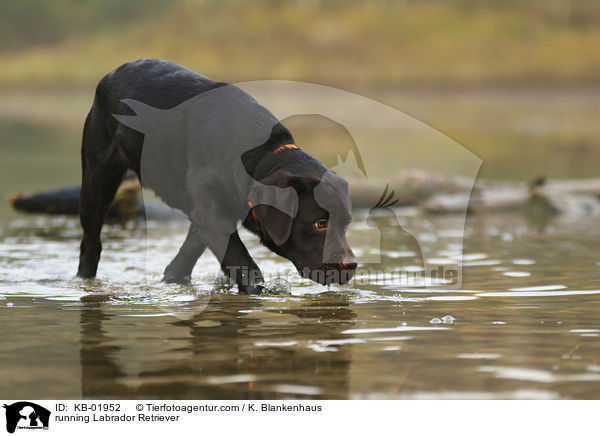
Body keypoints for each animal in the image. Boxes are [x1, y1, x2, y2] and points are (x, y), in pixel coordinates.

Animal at [76, 58, 356, 294]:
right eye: (320, 223)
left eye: (346, 224)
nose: (351, 265)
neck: (254, 157)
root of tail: (114, 72)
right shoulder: (212, 214)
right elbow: (242, 261)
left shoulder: (209, 214)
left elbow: (188, 254)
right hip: (97, 179)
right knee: (90, 244)